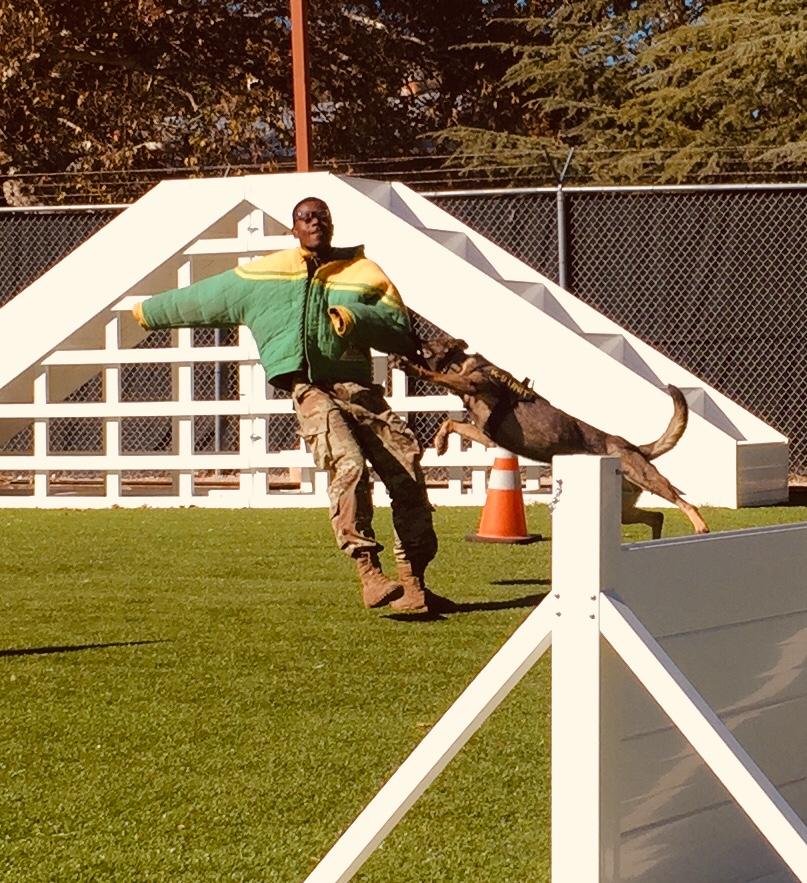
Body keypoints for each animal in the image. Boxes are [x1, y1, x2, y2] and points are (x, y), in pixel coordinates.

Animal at [394, 334, 712, 536]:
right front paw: (440, 443)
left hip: (648, 480)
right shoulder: (486, 434)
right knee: (656, 516)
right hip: (624, 508)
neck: (459, 362)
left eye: (427, 342)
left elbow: (437, 378)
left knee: (685, 502)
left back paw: (700, 526)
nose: (411, 336)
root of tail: (635, 447)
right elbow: (451, 422)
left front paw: (413, 368)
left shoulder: (472, 387)